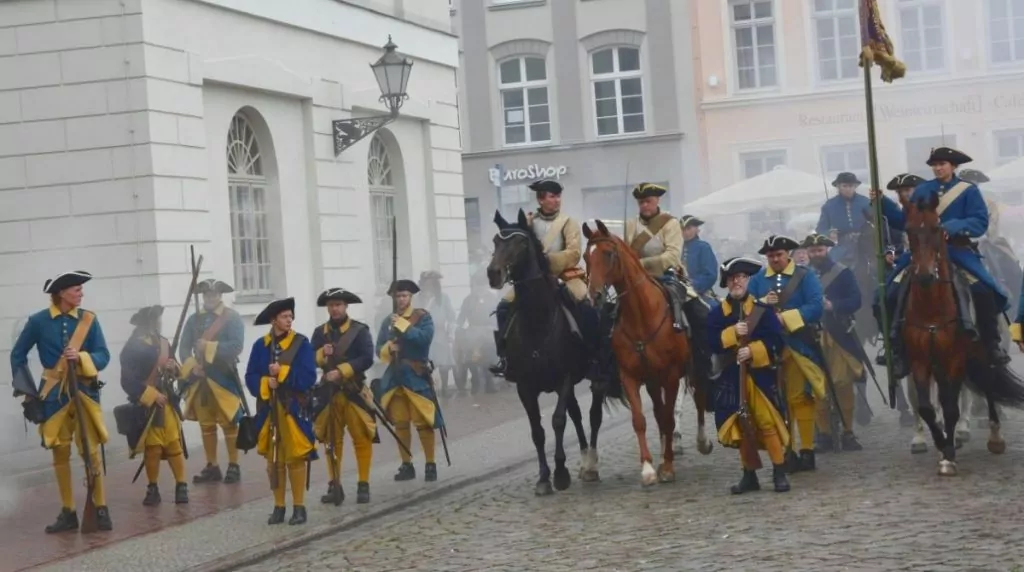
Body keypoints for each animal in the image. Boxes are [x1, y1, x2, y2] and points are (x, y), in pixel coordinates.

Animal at [489, 210, 614, 497]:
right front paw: (544, 477)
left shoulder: (564, 379)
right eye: (495, 241)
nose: (493, 273)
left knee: (592, 416)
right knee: (577, 415)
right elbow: (537, 430)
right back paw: (583, 461)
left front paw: (560, 473)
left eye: (520, 243)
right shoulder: (525, 387)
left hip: (595, 377)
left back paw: (591, 465)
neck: (537, 322)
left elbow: (558, 420)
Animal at [581, 220, 708, 487]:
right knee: (659, 413)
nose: (594, 295)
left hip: (694, 366)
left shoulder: (671, 375)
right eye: (586, 256)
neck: (641, 316)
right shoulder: (630, 376)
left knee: (699, 396)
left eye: (608, 254)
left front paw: (668, 467)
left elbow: (670, 418)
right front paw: (649, 468)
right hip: (652, 381)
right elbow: (641, 420)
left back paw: (702, 442)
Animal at [901, 190, 1024, 476]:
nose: (924, 275)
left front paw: (948, 454)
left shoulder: (955, 358)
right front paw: (941, 444)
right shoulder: (920, 360)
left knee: (987, 384)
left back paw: (995, 436)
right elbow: (927, 406)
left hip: (981, 352)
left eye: (936, 228)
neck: (931, 307)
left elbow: (950, 405)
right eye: (909, 230)